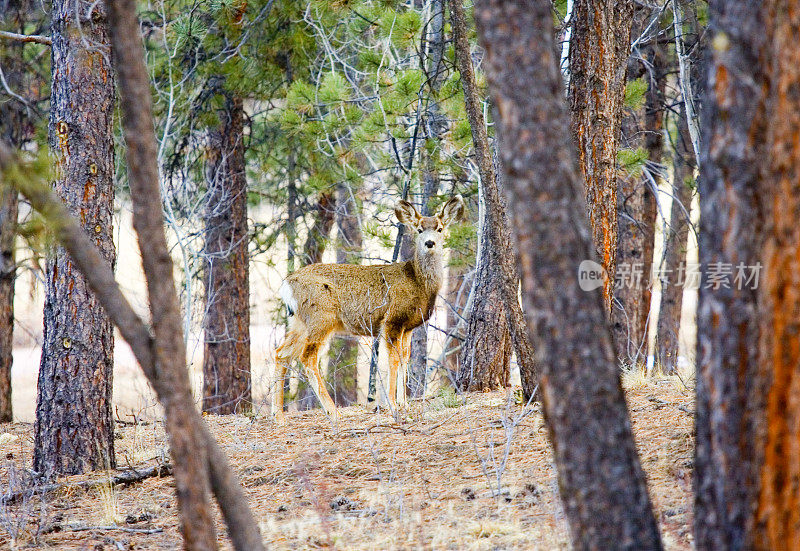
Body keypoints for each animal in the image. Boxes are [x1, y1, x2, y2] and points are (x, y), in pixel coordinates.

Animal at [276, 196, 466, 424]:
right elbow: (393, 360)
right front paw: (393, 404)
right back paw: (333, 412)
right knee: (307, 358)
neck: (418, 282)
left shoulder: (408, 327)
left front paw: (404, 403)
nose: (430, 243)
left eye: (439, 228)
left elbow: (405, 358)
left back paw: (277, 414)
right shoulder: (392, 320)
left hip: (299, 321)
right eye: (419, 229)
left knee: (281, 353)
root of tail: (286, 284)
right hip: (321, 316)